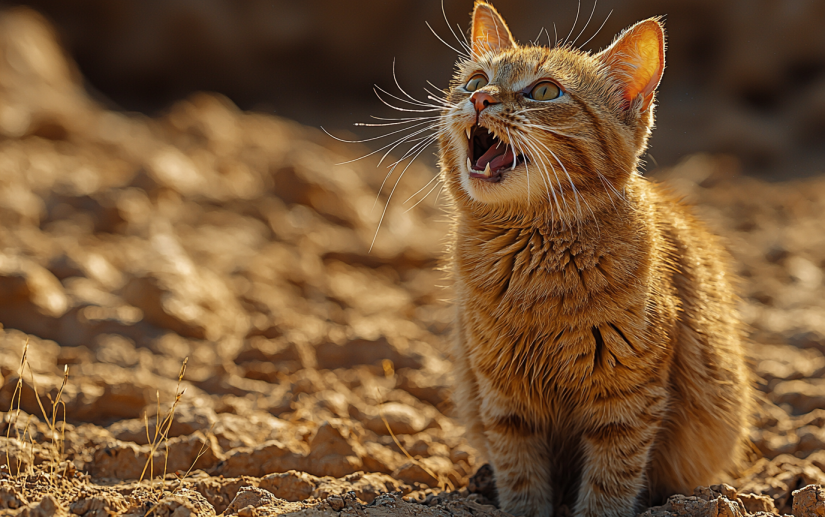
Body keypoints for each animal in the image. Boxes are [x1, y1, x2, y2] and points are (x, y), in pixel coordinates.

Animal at [438, 3, 752, 516]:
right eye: (475, 80)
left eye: (545, 91)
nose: (481, 99)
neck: (535, 258)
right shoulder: (503, 397)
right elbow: (519, 475)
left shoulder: (626, 401)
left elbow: (610, 481)